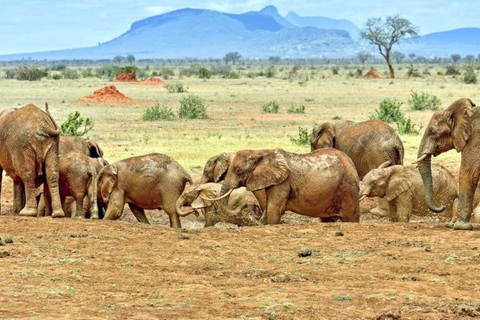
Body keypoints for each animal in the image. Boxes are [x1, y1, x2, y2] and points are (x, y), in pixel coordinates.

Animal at [205, 149, 360, 224]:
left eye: (237, 170)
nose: (249, 206)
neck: (259, 152)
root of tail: (351, 163)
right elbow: (269, 207)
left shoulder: (283, 182)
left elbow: (274, 208)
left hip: (347, 187)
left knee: (351, 217)